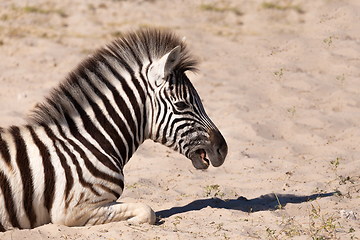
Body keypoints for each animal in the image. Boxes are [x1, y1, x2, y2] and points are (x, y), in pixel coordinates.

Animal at [0, 28, 228, 231]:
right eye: (181, 105)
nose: (223, 150)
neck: (89, 142)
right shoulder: (71, 210)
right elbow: (147, 210)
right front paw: (132, 221)